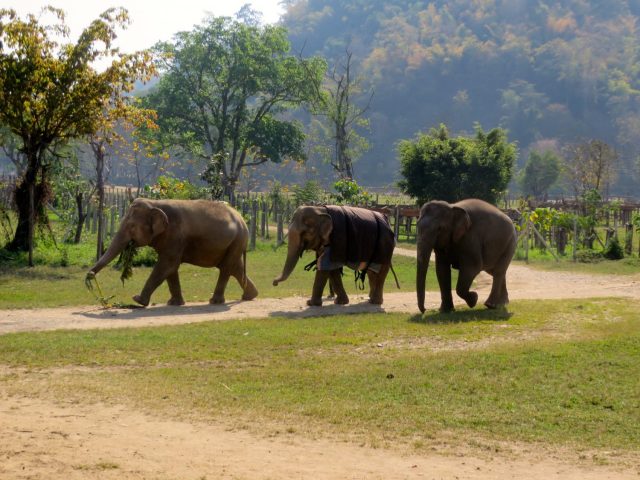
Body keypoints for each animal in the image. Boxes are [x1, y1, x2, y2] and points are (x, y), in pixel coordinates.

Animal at [87, 198, 258, 307]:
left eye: (132, 226)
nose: (90, 276)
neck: (154, 203)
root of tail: (242, 219)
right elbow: (170, 269)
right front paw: (174, 304)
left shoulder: (175, 235)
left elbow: (167, 265)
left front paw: (137, 300)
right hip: (235, 242)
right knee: (234, 267)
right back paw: (250, 296)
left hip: (237, 240)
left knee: (227, 268)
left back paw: (215, 302)